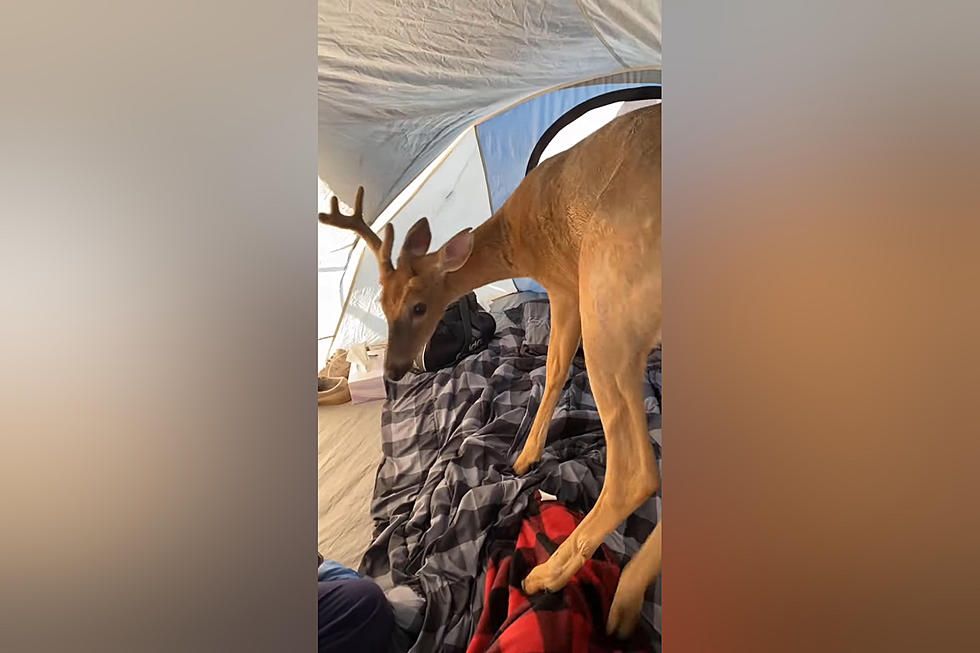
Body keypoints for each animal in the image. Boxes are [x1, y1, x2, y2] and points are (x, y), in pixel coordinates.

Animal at [318, 102, 664, 636]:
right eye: (382, 302)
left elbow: (555, 368)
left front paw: (523, 458)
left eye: (419, 306)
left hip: (609, 304)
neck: (517, 240)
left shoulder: (564, 285)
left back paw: (548, 578)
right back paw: (624, 602)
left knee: (636, 473)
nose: (394, 370)